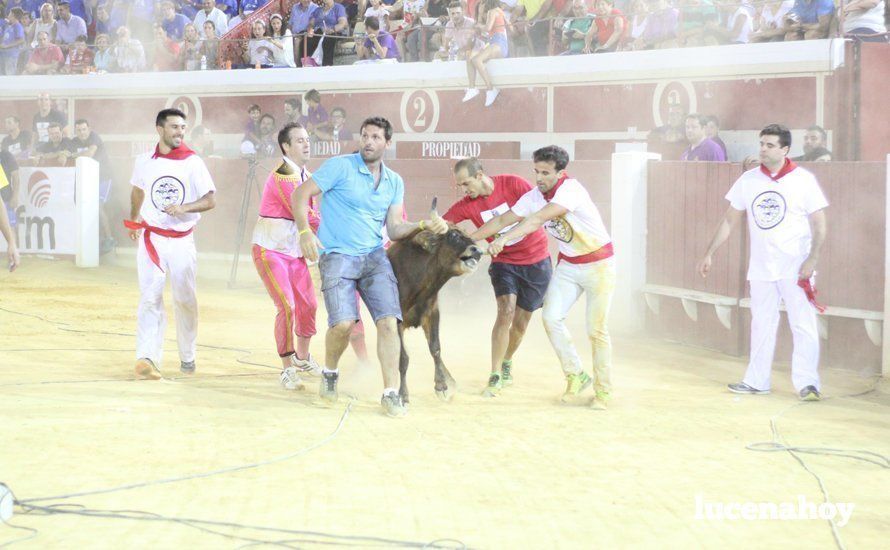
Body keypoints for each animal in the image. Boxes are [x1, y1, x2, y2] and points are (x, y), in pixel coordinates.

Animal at [386, 222, 482, 404]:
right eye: (453, 235)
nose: (478, 251)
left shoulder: (432, 313)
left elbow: (435, 348)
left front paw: (442, 385)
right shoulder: (397, 321)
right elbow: (403, 357)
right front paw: (403, 394)